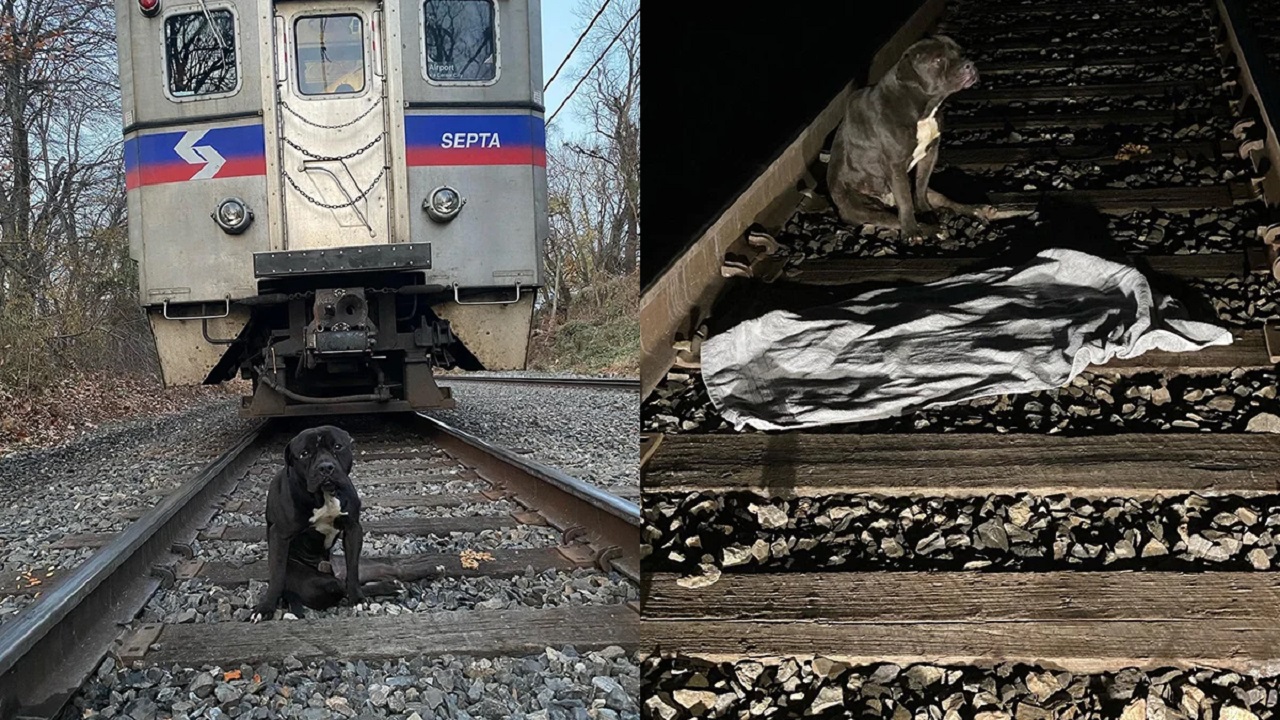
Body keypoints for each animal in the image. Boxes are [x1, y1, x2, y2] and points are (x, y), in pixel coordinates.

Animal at [245, 422, 394, 620]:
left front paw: (357, 598)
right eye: (304, 453)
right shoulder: (280, 535)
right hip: (315, 584)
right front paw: (266, 607)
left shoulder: (353, 529)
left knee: (344, 582)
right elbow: (276, 575)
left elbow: (353, 569)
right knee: (337, 586)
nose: (325, 467)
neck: (324, 496)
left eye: (337, 446)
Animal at [824, 35, 993, 242]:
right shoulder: (895, 166)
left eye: (961, 52)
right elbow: (905, 201)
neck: (921, 107)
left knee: (940, 198)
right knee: (893, 217)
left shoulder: (930, 154)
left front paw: (926, 211)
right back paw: (932, 229)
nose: (969, 64)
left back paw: (972, 209)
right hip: (865, 209)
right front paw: (913, 231)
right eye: (938, 60)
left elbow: (920, 187)